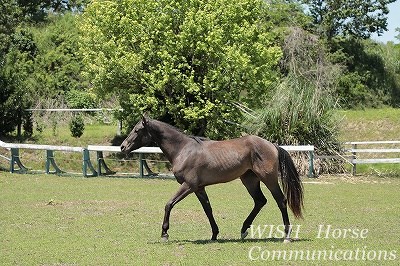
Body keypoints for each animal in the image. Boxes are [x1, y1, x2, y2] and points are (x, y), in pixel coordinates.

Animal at [121, 115, 304, 242]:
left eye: (137, 130)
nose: (123, 147)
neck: (183, 149)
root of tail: (272, 145)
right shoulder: (199, 188)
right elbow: (208, 209)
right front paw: (214, 234)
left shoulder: (188, 186)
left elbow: (169, 204)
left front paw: (165, 233)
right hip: (249, 180)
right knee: (260, 201)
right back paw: (244, 229)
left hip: (268, 178)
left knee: (281, 200)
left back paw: (287, 235)